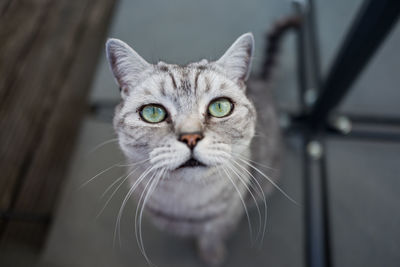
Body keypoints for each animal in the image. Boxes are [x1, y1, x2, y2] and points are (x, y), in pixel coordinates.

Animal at [104, 16, 298, 266]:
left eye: (220, 107)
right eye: (153, 113)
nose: (191, 137)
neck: (188, 202)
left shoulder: (225, 219)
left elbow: (211, 236)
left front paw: (211, 254)